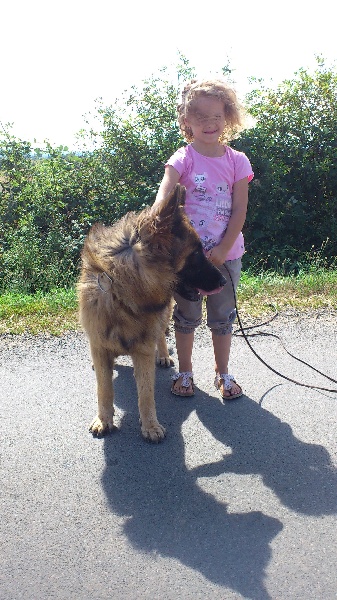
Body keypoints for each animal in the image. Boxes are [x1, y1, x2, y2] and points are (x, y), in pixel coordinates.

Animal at [79, 185, 226, 442]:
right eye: (196, 254)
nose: (224, 281)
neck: (123, 294)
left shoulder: (143, 351)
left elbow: (146, 393)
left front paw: (150, 425)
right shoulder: (100, 345)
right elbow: (104, 390)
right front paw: (104, 420)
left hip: (162, 318)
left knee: (160, 336)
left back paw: (164, 356)